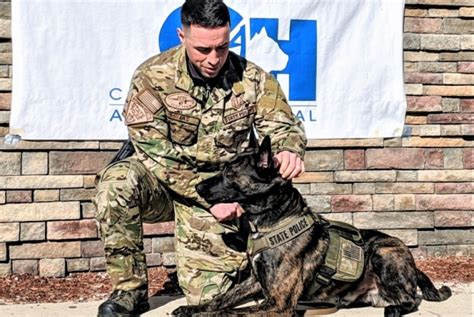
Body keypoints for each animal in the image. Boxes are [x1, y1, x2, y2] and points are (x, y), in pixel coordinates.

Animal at [171, 136, 452, 316]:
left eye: (230, 173)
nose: (197, 186)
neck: (273, 220)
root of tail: (412, 264)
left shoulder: (278, 304)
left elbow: (229, 312)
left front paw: (200, 315)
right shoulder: (254, 282)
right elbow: (221, 300)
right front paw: (192, 308)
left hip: (384, 253)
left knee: (409, 299)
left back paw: (395, 308)